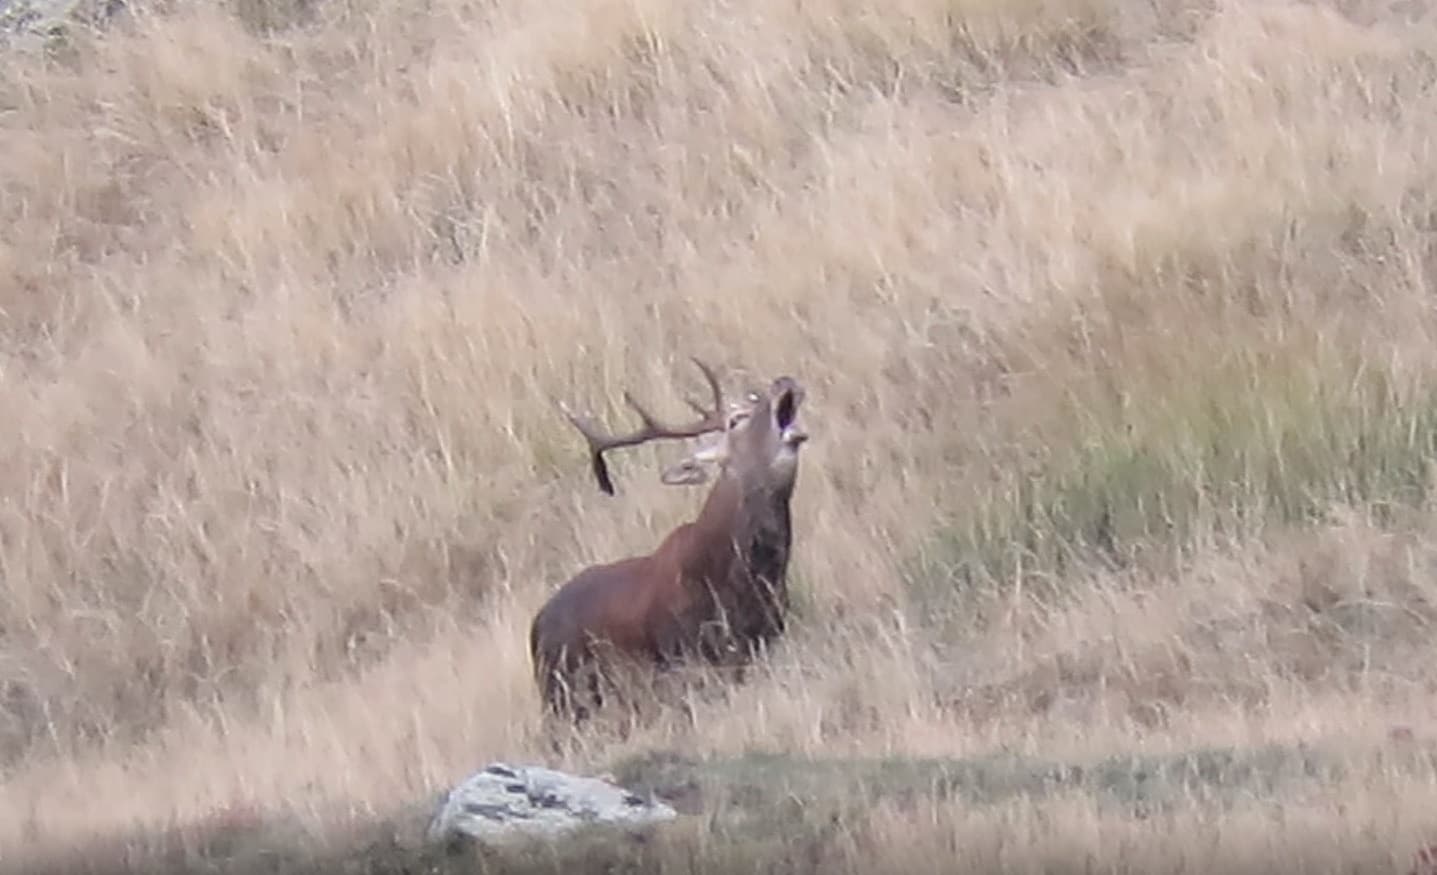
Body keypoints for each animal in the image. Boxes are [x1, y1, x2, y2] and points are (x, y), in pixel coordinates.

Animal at [529, 358, 809, 725]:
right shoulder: (684, 653)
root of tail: (535, 628)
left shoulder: (764, 638)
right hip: (563, 693)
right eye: (736, 420)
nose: (783, 382)